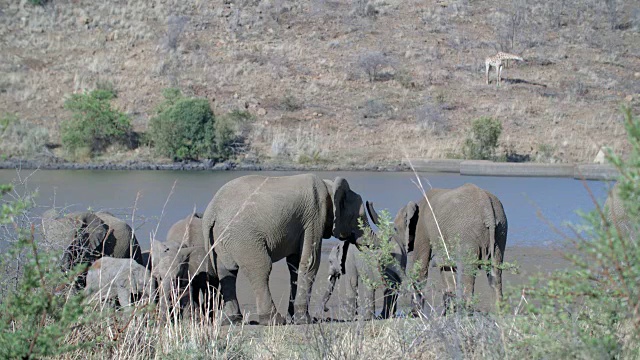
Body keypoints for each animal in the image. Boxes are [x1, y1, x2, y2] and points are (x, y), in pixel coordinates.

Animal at [200, 174, 370, 326]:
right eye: (360, 219)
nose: (324, 313)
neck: (329, 185)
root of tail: (211, 212)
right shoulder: (314, 217)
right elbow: (310, 262)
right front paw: (305, 321)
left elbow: (294, 265)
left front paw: (294, 318)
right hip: (243, 237)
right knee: (260, 269)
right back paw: (273, 321)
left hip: (222, 239)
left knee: (227, 272)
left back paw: (233, 321)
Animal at [398, 184, 508, 314]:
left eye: (395, 229)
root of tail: (488, 209)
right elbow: (446, 268)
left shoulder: (421, 227)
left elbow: (421, 264)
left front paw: (415, 312)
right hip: (500, 231)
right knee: (496, 272)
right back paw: (498, 312)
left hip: (468, 233)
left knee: (468, 272)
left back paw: (466, 311)